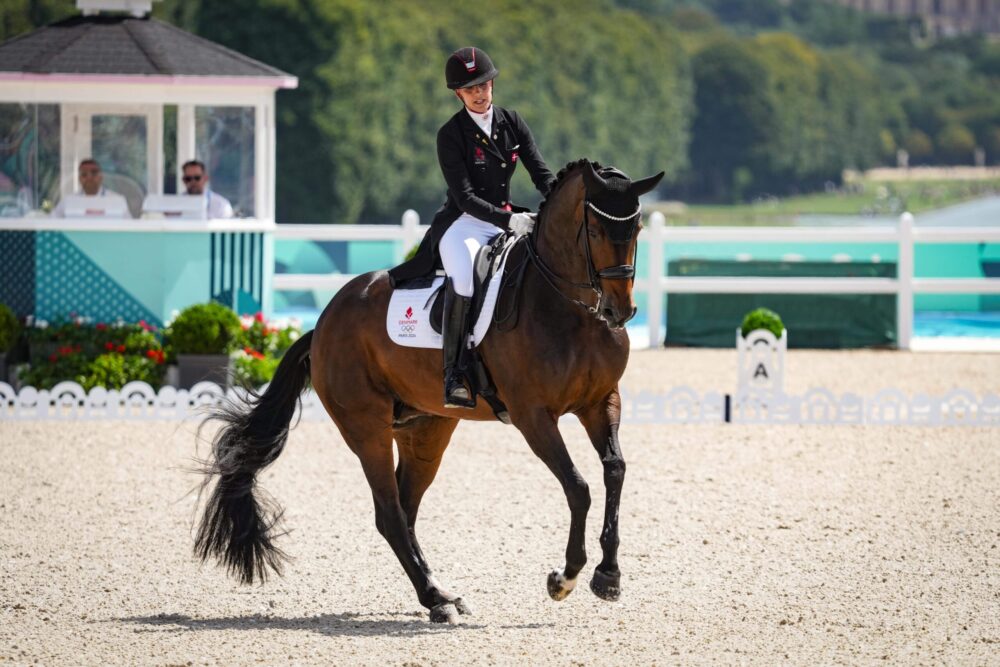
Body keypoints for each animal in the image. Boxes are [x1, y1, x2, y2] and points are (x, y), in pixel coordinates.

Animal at [195, 159, 664, 624]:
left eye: (637, 228)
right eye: (596, 231)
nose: (620, 311)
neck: (569, 309)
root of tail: (324, 321)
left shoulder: (601, 401)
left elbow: (615, 471)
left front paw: (608, 577)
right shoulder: (533, 416)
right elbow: (578, 486)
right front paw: (564, 578)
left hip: (426, 428)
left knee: (406, 509)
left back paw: (441, 594)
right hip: (367, 428)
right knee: (390, 512)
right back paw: (436, 598)